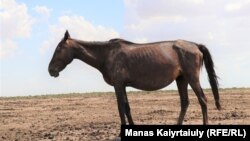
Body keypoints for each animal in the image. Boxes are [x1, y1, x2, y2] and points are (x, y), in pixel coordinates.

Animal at [47, 30, 220, 128]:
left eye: (59, 49)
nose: (51, 70)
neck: (107, 55)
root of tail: (195, 45)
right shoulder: (123, 86)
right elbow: (127, 107)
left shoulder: (118, 85)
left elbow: (120, 108)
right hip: (181, 79)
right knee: (185, 102)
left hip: (192, 78)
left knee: (203, 100)